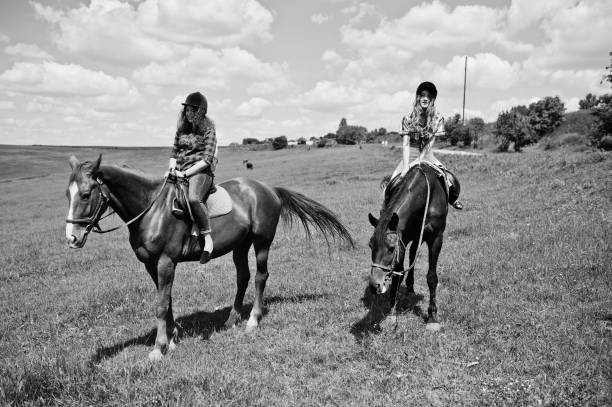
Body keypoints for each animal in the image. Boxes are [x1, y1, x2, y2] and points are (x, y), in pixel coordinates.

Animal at [65, 155, 354, 360]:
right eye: (67, 194)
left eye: (86, 194)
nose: (72, 239)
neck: (152, 209)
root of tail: (268, 189)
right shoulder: (151, 265)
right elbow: (167, 301)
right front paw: (172, 338)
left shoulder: (165, 262)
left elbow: (161, 304)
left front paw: (158, 348)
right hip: (240, 245)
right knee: (243, 277)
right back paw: (232, 319)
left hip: (262, 242)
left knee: (260, 276)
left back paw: (253, 320)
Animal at [368, 164, 450, 330]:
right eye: (370, 246)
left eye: (391, 248)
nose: (375, 285)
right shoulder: (403, 240)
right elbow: (397, 276)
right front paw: (392, 313)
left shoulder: (436, 239)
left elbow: (432, 277)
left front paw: (432, 316)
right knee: (412, 256)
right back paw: (410, 288)